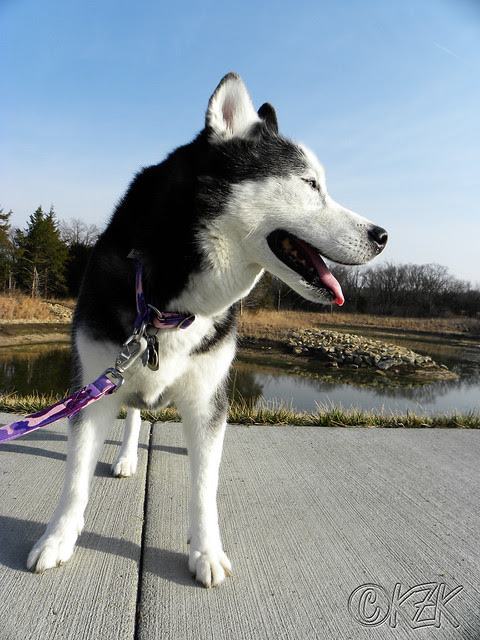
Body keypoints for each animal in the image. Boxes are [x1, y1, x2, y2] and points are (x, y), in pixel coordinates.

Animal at [27, 73, 387, 587]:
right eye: (310, 183)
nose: (383, 236)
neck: (172, 303)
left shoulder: (206, 397)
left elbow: (204, 487)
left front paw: (206, 552)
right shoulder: (93, 382)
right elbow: (75, 478)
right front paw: (57, 539)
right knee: (133, 413)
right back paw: (128, 456)